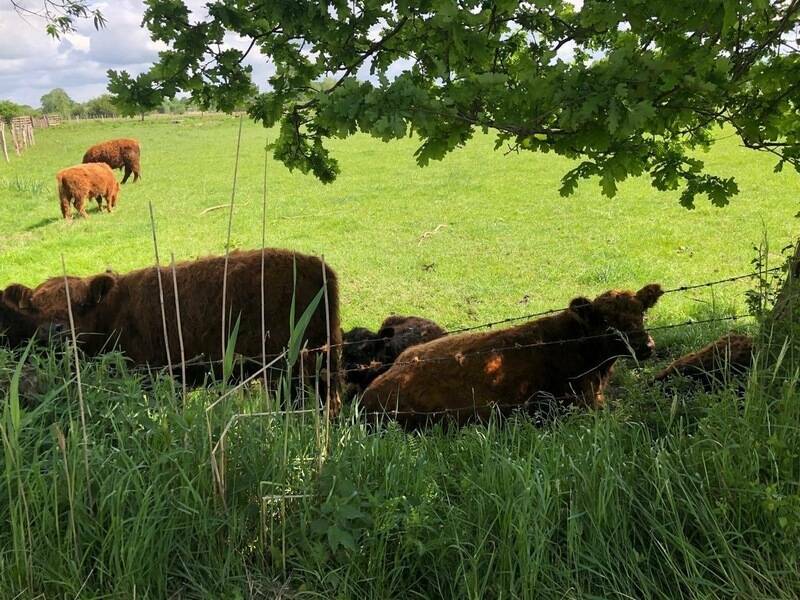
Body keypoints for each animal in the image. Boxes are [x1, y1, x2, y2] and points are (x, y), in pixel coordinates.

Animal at [3, 249, 342, 411]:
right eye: (34, 308)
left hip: (296, 371)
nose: (55, 330)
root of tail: (318, 266)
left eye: (81, 305)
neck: (114, 312)